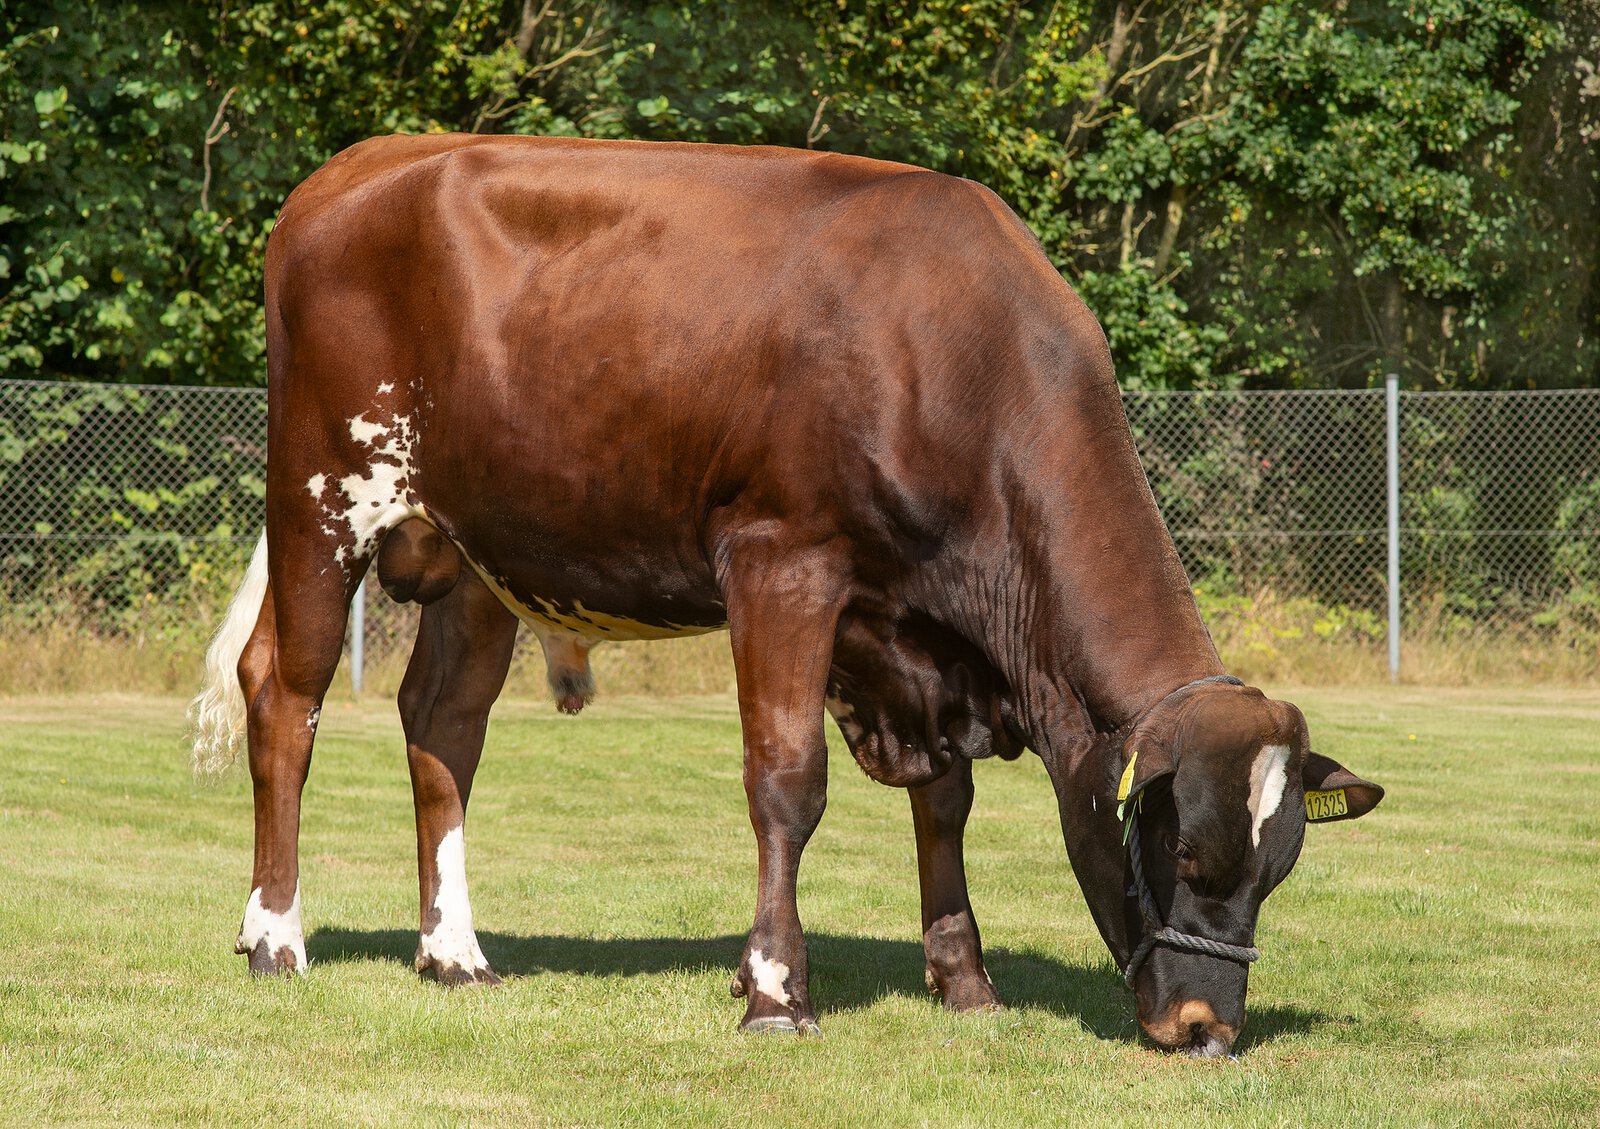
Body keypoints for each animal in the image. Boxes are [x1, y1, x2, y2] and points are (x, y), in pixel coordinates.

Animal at [189, 133, 1383, 1057]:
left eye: (1277, 869)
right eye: (1182, 852)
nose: (1204, 1027)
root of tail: (363, 161)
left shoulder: (902, 634)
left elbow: (944, 801)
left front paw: (964, 980)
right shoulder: (782, 562)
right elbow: (787, 782)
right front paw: (772, 989)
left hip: (479, 552)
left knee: (441, 725)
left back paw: (454, 952)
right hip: (324, 495)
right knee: (284, 696)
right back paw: (277, 934)